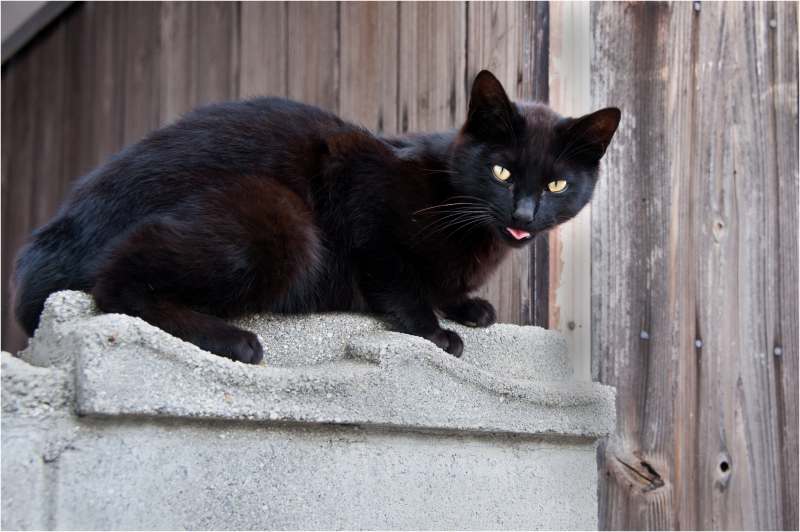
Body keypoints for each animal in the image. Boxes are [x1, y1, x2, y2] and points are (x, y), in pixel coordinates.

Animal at [14, 70, 624, 362]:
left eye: (556, 184)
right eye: (501, 171)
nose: (524, 212)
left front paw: (467, 305)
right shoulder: (357, 179)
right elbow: (394, 275)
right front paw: (434, 330)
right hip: (280, 216)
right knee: (117, 281)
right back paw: (234, 340)